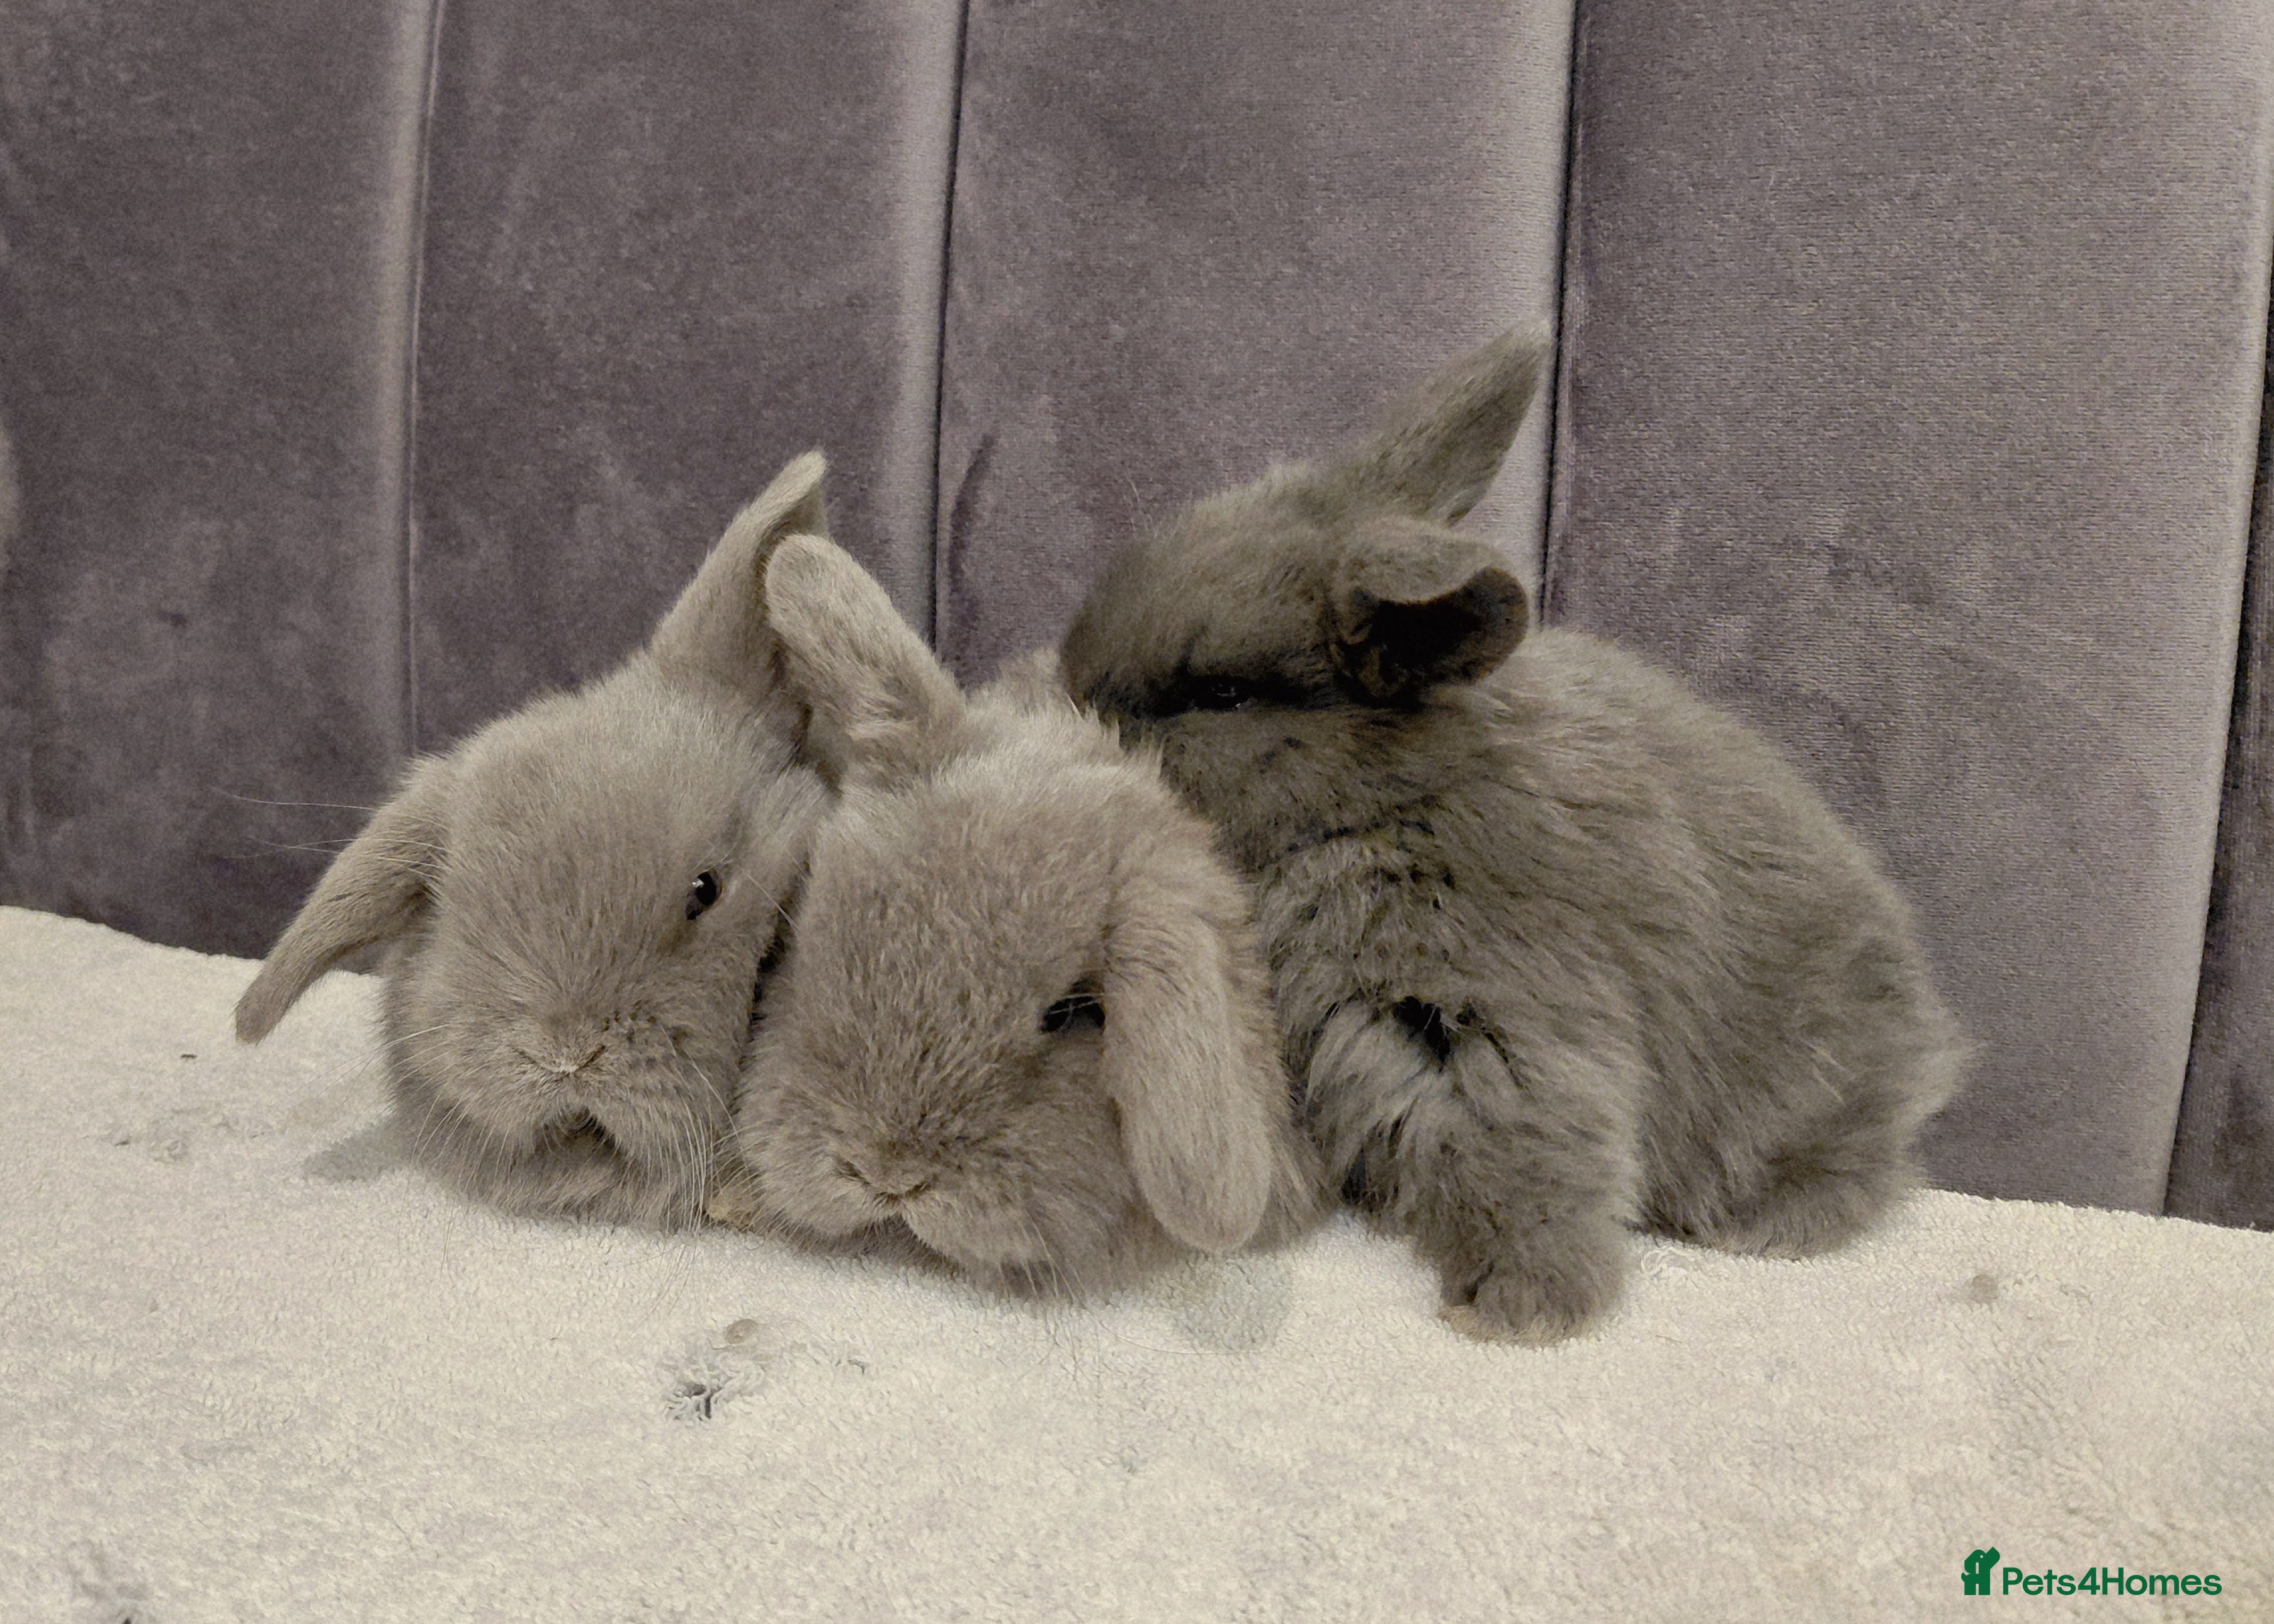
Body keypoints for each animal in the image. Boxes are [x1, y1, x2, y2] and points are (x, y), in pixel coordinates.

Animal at [1057, 325, 1968, 1343]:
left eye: (1219, 693)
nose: (1072, 696)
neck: (1390, 800)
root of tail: (1923, 1035)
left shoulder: (1485, 1009)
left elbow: (1526, 1144)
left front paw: (1516, 1310)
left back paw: (1763, 1228)